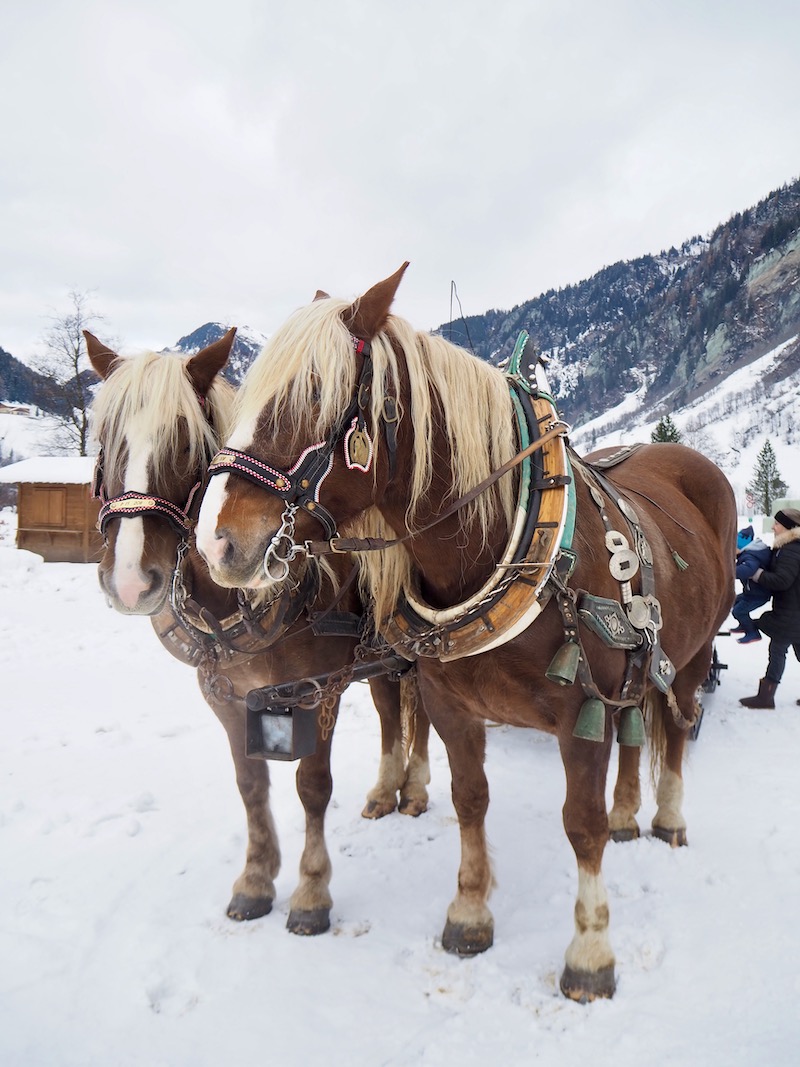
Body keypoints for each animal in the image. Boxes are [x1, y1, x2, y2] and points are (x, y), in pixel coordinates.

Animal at [196, 266, 738, 998]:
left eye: (311, 395)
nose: (216, 542)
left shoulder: (581, 713)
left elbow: (582, 825)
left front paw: (590, 953)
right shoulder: (454, 707)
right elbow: (470, 800)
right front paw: (470, 913)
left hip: (694, 652)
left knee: (675, 728)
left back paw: (667, 819)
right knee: (636, 726)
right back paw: (630, 812)